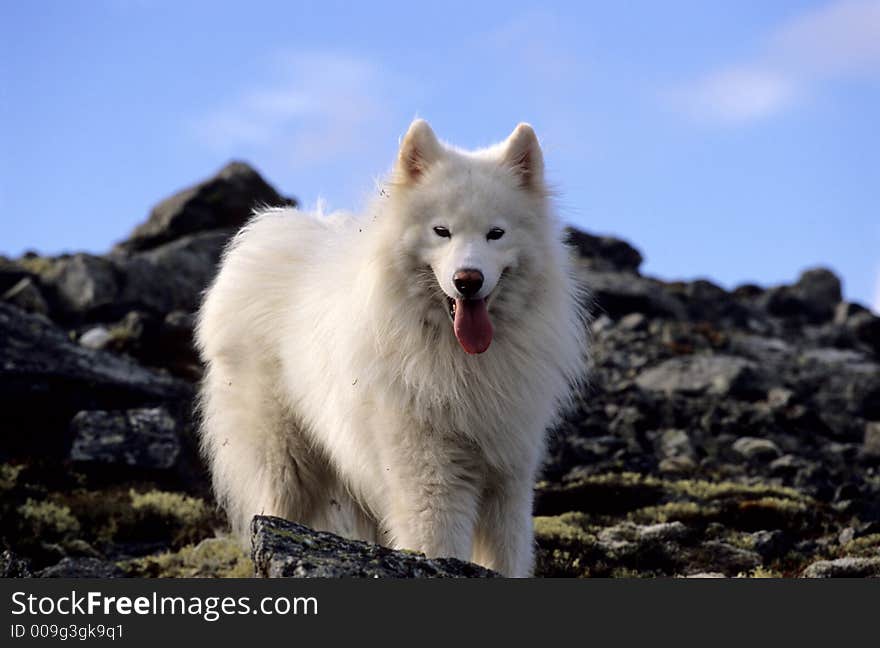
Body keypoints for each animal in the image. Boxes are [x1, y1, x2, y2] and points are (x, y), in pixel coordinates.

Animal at [196, 119, 588, 576]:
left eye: (496, 233)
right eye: (441, 231)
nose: (467, 280)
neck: (461, 359)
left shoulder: (508, 474)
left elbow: (507, 555)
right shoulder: (430, 475)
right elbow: (438, 545)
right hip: (284, 462)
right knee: (271, 510)